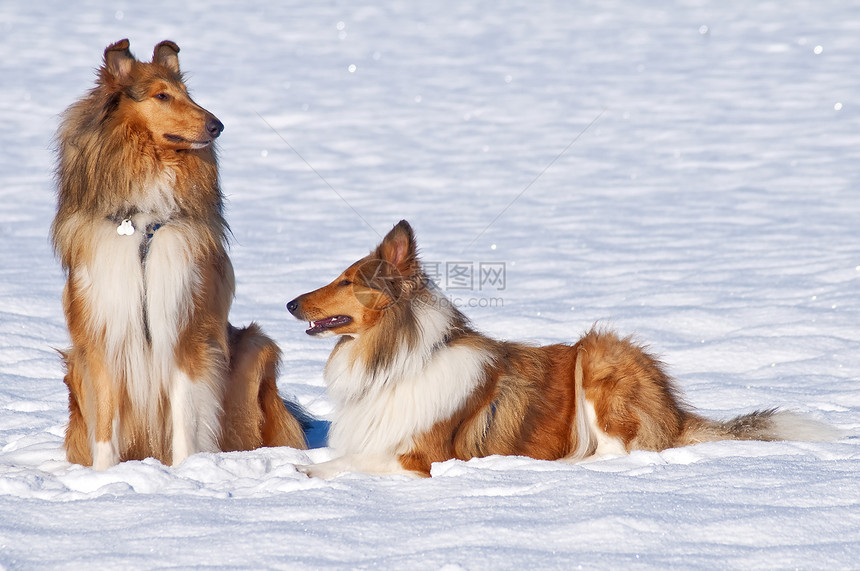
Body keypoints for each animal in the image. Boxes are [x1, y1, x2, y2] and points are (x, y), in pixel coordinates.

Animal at [51, 39, 306, 470]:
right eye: (162, 96)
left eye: (188, 94)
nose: (217, 125)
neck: (143, 223)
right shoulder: (101, 333)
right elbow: (105, 419)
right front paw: (102, 477)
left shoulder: (187, 329)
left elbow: (187, 415)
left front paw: (187, 474)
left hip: (255, 348)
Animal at [288, 221, 832, 480]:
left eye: (347, 281)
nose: (290, 303)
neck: (396, 361)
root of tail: (675, 411)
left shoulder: (423, 458)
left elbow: (356, 461)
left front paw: (307, 469)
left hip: (599, 353)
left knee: (614, 452)